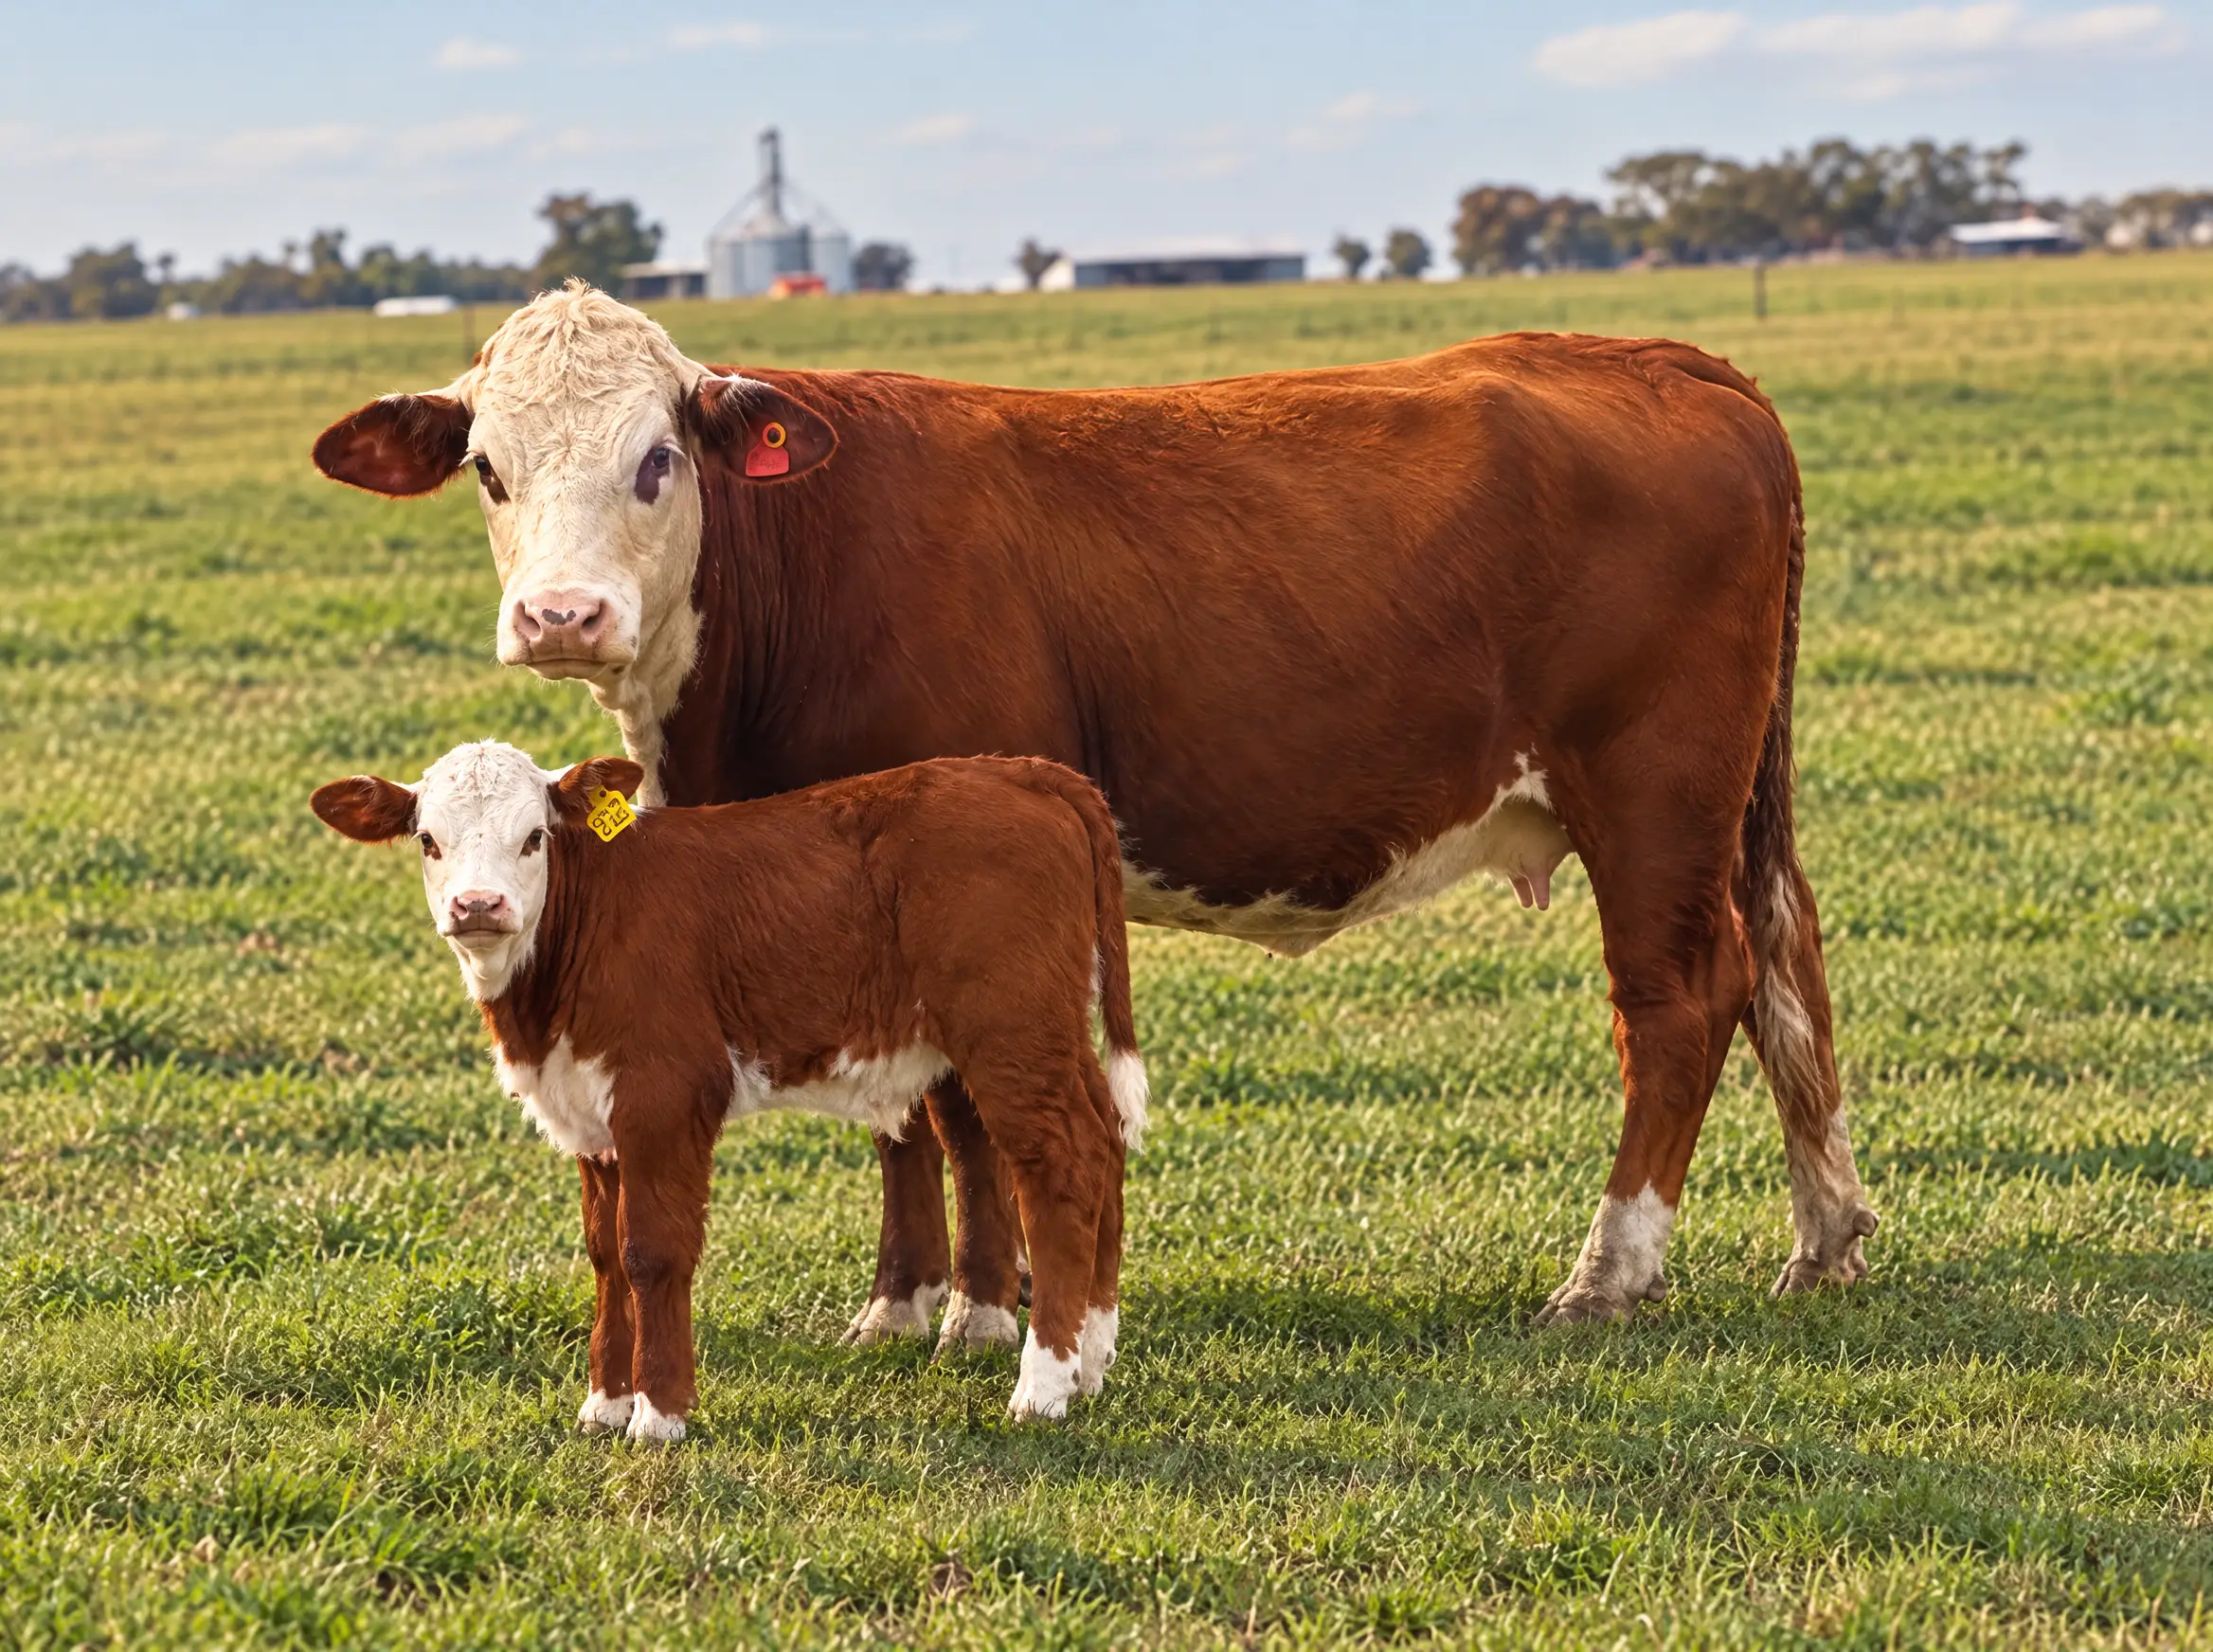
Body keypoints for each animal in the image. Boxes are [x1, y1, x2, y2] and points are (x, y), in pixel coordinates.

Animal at [311, 282, 1880, 1342]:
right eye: (490, 467)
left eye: (658, 458)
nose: (560, 617)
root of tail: (1669, 359)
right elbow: (896, 1109)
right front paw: (902, 1301)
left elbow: (955, 1105)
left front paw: (984, 1308)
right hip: (1733, 802)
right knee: (1784, 977)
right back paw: (1825, 1236)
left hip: (1655, 787)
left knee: (1682, 999)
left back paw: (1612, 1272)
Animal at [311, 742, 1147, 1435]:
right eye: (428, 840)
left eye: (533, 838)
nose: (477, 906)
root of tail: (1025, 772)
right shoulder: (590, 1115)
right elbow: (605, 1255)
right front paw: (604, 1406)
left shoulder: (664, 1095)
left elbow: (651, 1251)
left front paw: (659, 1416)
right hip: (1051, 1033)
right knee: (1104, 1139)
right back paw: (1092, 1360)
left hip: (1009, 1030)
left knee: (1061, 1162)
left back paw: (1042, 1387)